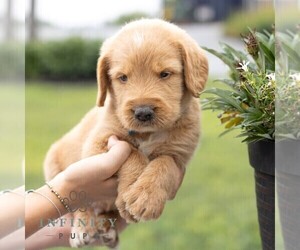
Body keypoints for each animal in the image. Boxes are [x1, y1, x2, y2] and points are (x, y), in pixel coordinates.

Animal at [43, 18, 209, 247]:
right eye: (122, 78)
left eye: (165, 74)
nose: (143, 112)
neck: (148, 133)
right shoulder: (99, 142)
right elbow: (132, 152)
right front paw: (132, 190)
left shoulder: (179, 156)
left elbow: (163, 164)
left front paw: (145, 197)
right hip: (53, 165)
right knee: (81, 206)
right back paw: (84, 228)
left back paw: (108, 229)